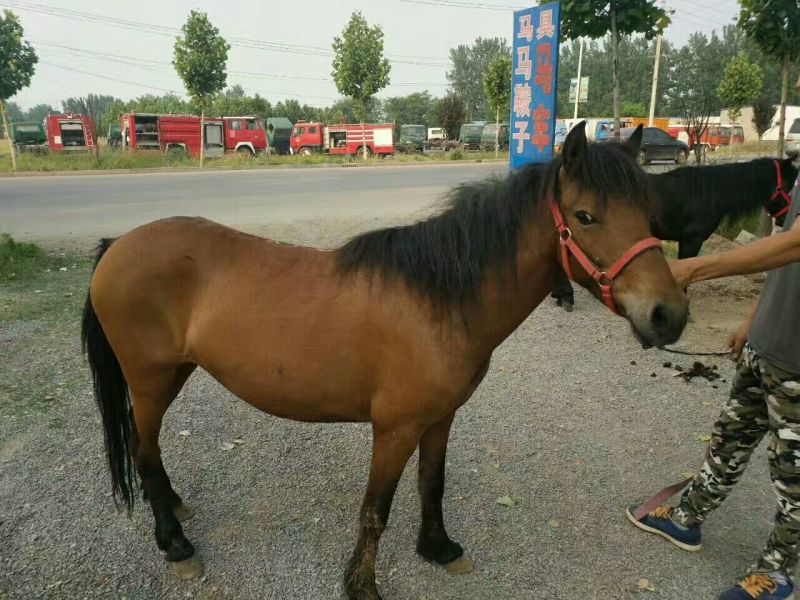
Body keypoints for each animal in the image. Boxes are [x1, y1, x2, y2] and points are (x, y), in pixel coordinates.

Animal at [81, 122, 688, 600]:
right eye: (585, 216)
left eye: (648, 213)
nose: (669, 315)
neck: (439, 299)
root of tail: (118, 246)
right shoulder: (394, 428)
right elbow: (376, 509)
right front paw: (362, 585)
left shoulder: (440, 418)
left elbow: (432, 484)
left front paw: (438, 548)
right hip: (150, 380)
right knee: (143, 449)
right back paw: (174, 543)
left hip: (173, 373)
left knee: (146, 451)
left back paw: (175, 509)